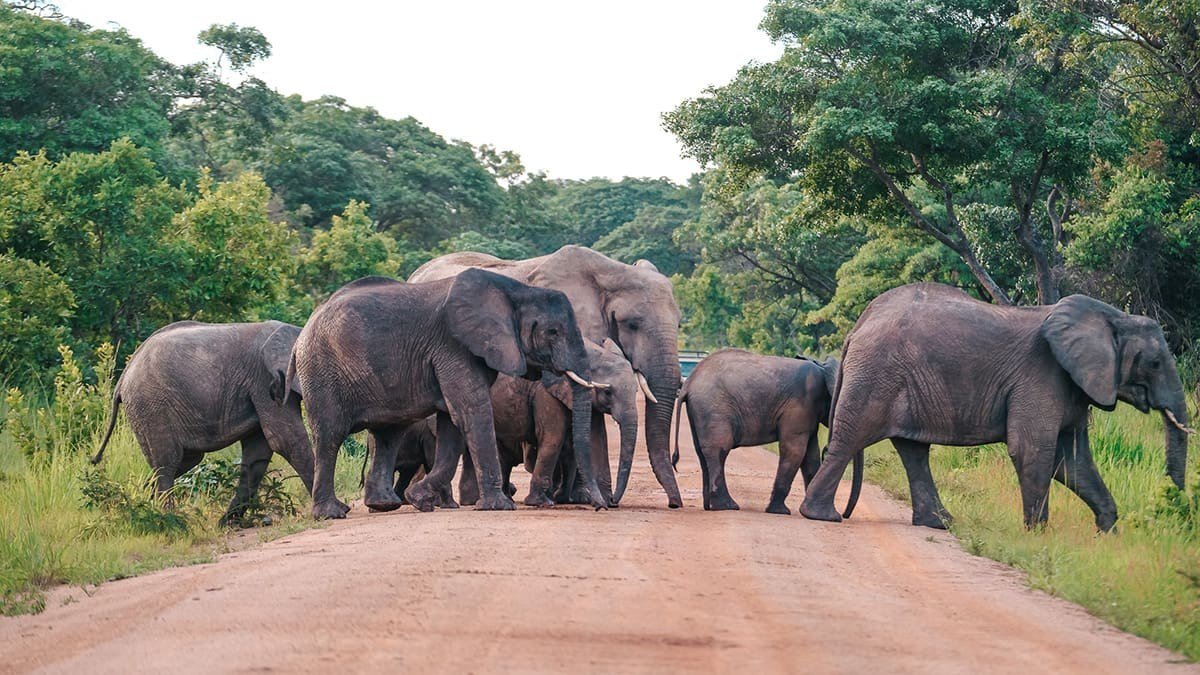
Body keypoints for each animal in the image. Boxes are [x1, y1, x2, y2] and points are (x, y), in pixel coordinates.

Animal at [90, 320, 335, 526]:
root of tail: (122, 379)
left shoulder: (259, 389)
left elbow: (259, 453)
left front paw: (227, 523)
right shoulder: (265, 382)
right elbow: (286, 440)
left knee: (182, 460)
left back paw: (149, 508)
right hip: (150, 405)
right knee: (167, 462)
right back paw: (170, 521)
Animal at [291, 269, 610, 519]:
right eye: (553, 332)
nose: (600, 507)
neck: (516, 290)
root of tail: (303, 332)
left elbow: (452, 425)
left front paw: (420, 499)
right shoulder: (453, 346)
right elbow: (471, 411)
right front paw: (499, 506)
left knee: (387, 436)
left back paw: (385, 505)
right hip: (321, 372)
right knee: (330, 436)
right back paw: (332, 513)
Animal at [456, 338, 648, 508]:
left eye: (636, 390)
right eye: (607, 392)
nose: (613, 501)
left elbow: (596, 440)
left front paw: (593, 501)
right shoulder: (545, 392)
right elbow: (554, 439)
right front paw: (541, 502)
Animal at [674, 349, 860, 515]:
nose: (844, 514)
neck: (822, 368)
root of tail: (688, 384)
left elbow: (810, 456)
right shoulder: (801, 406)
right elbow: (795, 451)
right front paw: (780, 512)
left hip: (701, 410)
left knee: (702, 452)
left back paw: (710, 506)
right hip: (713, 408)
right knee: (719, 450)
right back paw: (728, 506)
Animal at [800, 283, 1193, 531]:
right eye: (1154, 363)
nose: (1165, 511)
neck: (1111, 315)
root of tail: (858, 326)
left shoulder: (1072, 386)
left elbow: (1073, 460)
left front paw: (1107, 533)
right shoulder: (1042, 376)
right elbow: (1033, 450)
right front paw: (1037, 535)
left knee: (913, 452)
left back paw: (940, 524)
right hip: (876, 375)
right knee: (850, 440)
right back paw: (822, 516)